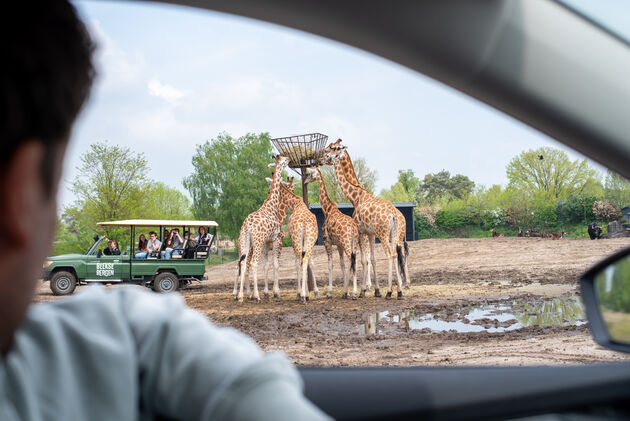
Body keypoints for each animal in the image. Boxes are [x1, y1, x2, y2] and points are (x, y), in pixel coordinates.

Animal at [235, 154, 288, 302]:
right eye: (283, 160)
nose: (289, 159)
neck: (272, 205)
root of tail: (247, 225)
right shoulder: (276, 239)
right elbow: (275, 264)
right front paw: (276, 293)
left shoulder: (266, 242)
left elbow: (266, 265)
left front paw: (267, 293)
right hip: (257, 242)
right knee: (252, 264)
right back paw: (255, 296)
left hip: (246, 242)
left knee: (242, 264)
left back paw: (240, 296)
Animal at [304, 164, 360, 298]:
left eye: (310, 174)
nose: (304, 181)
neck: (327, 209)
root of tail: (352, 227)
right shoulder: (338, 245)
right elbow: (342, 265)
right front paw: (345, 291)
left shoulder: (327, 241)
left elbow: (330, 265)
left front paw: (330, 292)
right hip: (354, 242)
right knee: (354, 261)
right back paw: (351, 292)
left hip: (346, 243)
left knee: (352, 260)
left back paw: (355, 293)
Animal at [324, 140, 408, 298]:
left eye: (333, 148)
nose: (324, 155)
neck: (356, 197)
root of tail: (394, 215)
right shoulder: (370, 233)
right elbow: (372, 259)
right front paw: (376, 290)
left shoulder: (361, 231)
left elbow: (363, 260)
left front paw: (363, 290)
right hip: (394, 234)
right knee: (397, 254)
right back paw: (399, 290)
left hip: (383, 234)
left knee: (390, 254)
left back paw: (390, 292)